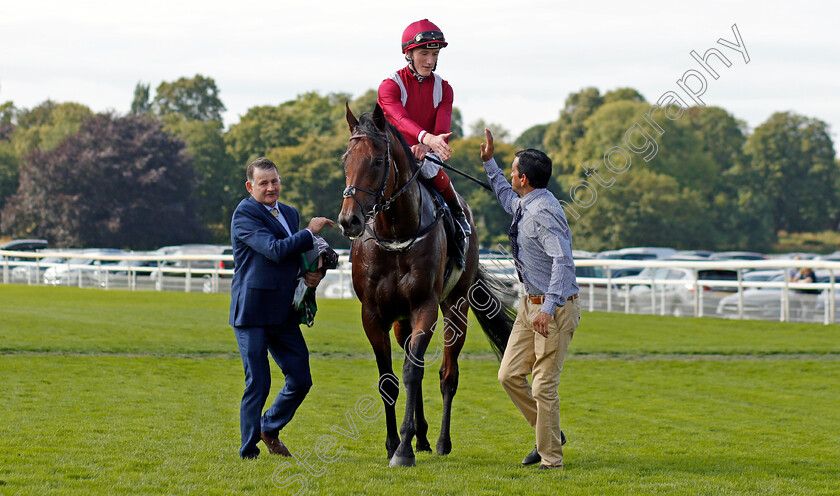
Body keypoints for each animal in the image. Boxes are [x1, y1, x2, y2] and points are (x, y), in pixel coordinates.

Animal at [338, 102, 516, 466]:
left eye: (377, 161)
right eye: (345, 160)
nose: (349, 220)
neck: (395, 234)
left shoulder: (425, 307)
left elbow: (412, 373)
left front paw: (403, 449)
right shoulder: (373, 314)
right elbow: (389, 380)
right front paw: (395, 443)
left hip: (456, 307)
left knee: (447, 375)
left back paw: (441, 441)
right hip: (401, 321)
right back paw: (420, 437)